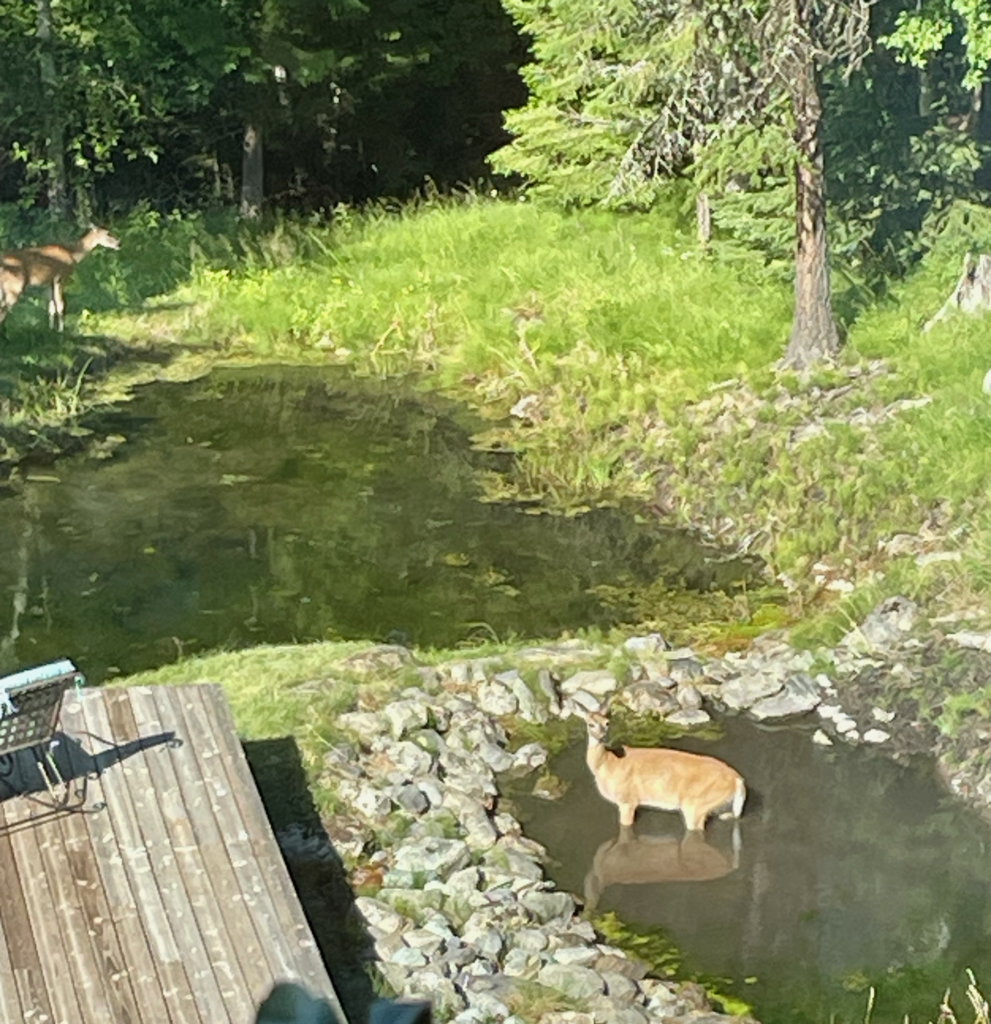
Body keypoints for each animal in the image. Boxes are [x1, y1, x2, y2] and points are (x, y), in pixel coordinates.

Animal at [583, 710, 746, 831]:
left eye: (607, 723)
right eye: (589, 724)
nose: (602, 737)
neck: (607, 764)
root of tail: (737, 780)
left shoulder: (627, 800)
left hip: (696, 804)